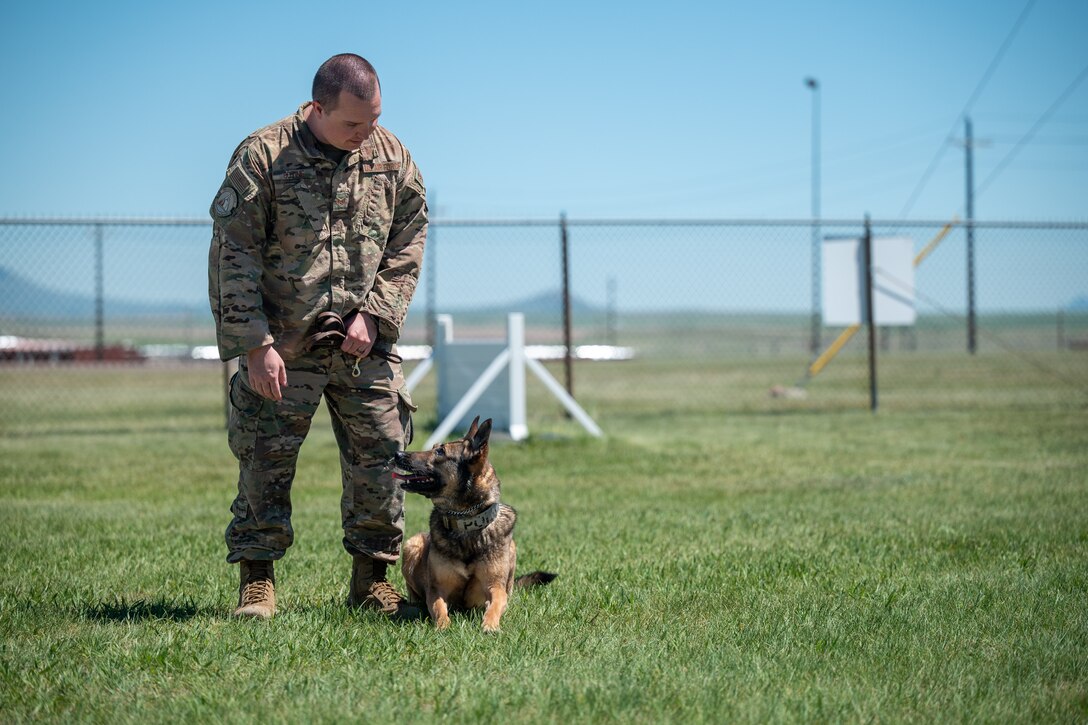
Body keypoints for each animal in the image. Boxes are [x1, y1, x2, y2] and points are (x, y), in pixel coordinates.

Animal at [393, 415, 557, 631]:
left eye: (440, 452)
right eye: (435, 447)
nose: (398, 454)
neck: (465, 521)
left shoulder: (494, 586)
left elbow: (497, 602)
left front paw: (490, 625)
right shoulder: (436, 589)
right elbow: (438, 607)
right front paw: (443, 626)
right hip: (413, 545)